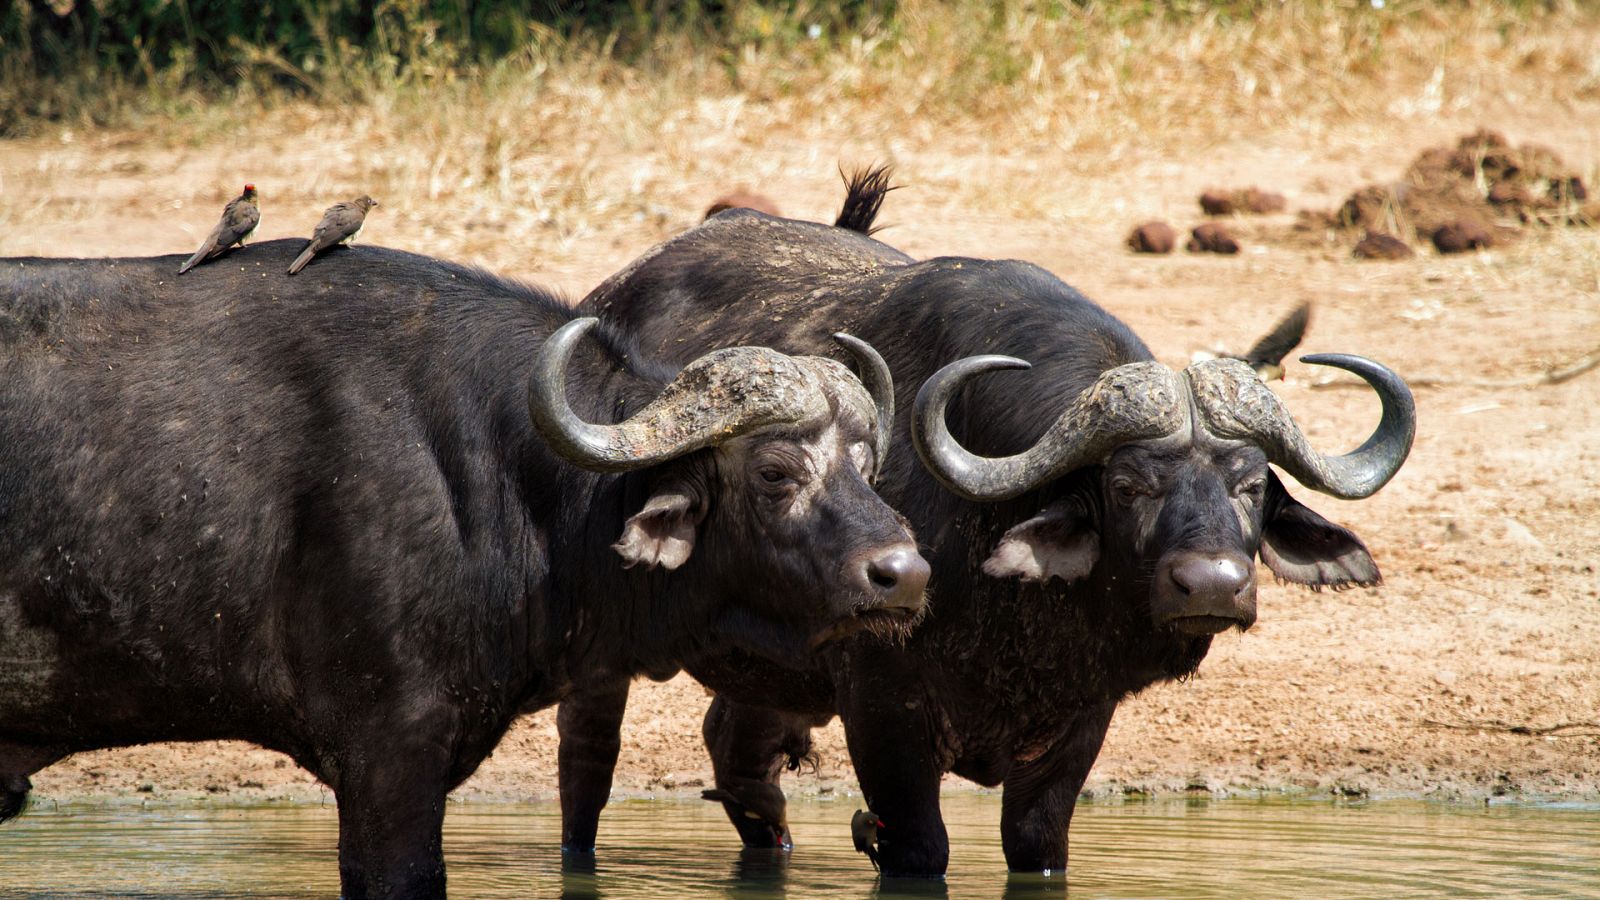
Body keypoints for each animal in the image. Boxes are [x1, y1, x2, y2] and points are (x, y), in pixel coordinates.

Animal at [563, 178, 1414, 871]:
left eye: (1250, 487)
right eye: (1129, 486)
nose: (1211, 585)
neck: (1022, 609)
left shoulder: (1079, 724)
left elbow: (1037, 843)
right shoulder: (883, 709)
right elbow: (920, 846)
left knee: (739, 759)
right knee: (592, 766)